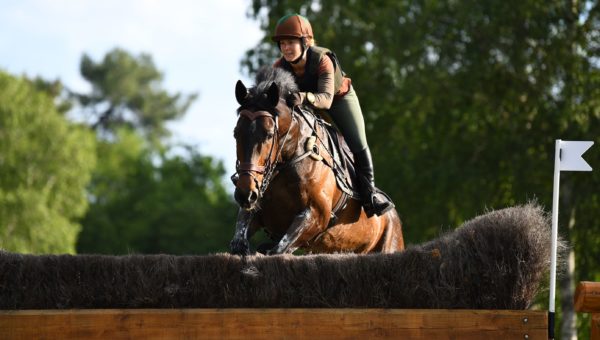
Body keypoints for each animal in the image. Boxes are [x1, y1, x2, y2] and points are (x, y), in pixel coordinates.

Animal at [230, 67, 404, 255]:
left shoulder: (316, 215)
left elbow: (280, 248)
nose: (245, 194)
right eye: (236, 133)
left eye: (269, 134)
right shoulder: (257, 209)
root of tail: (395, 219)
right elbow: (239, 238)